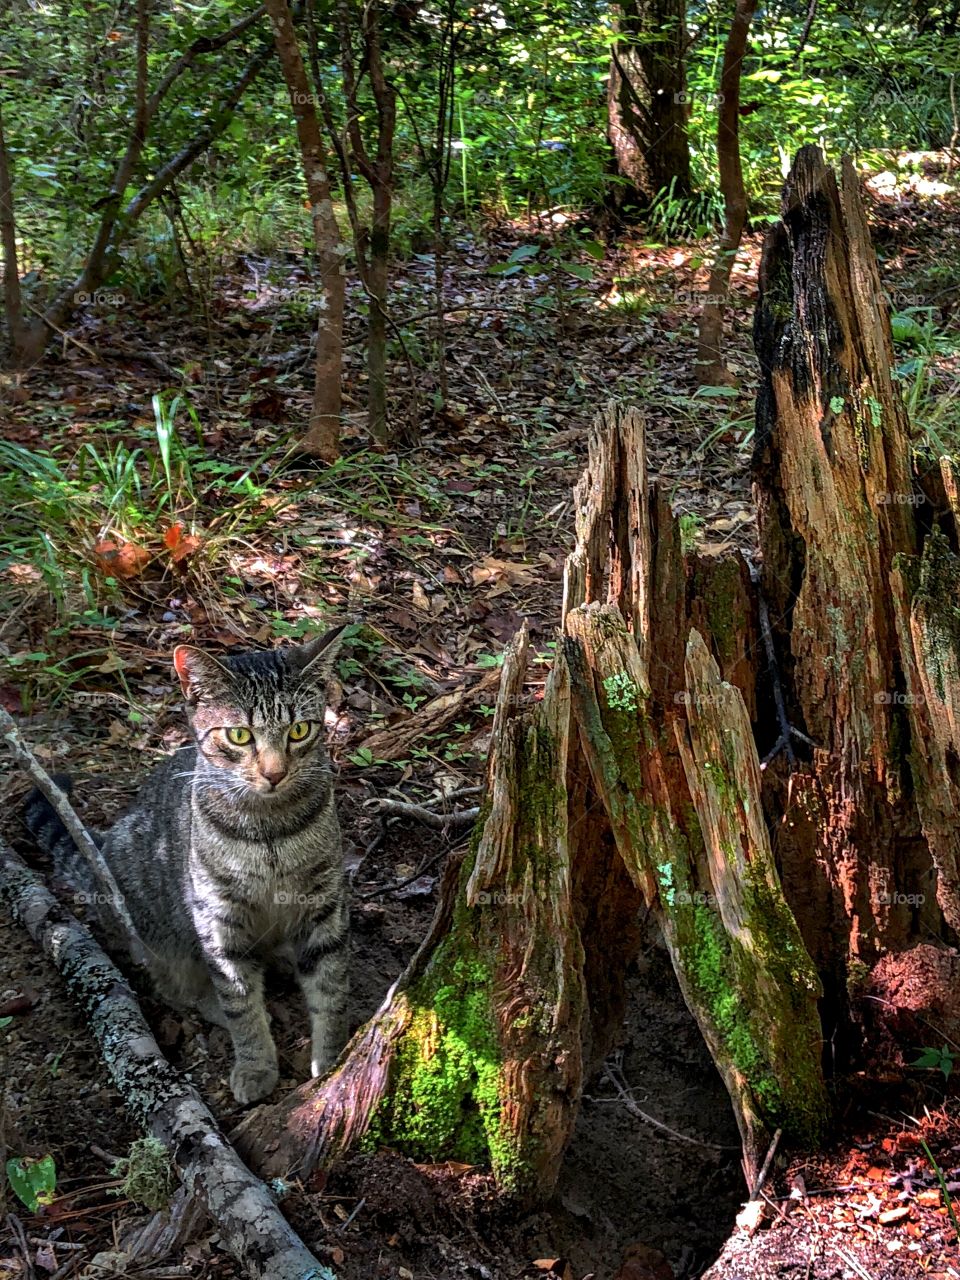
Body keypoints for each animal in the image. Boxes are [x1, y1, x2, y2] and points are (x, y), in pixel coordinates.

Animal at [24, 627, 350, 1100]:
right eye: (239, 736)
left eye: (299, 730)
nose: (274, 774)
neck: (269, 831)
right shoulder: (217, 916)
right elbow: (239, 1002)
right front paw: (255, 1064)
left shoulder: (323, 905)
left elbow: (331, 990)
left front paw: (333, 1062)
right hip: (160, 929)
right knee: (177, 987)